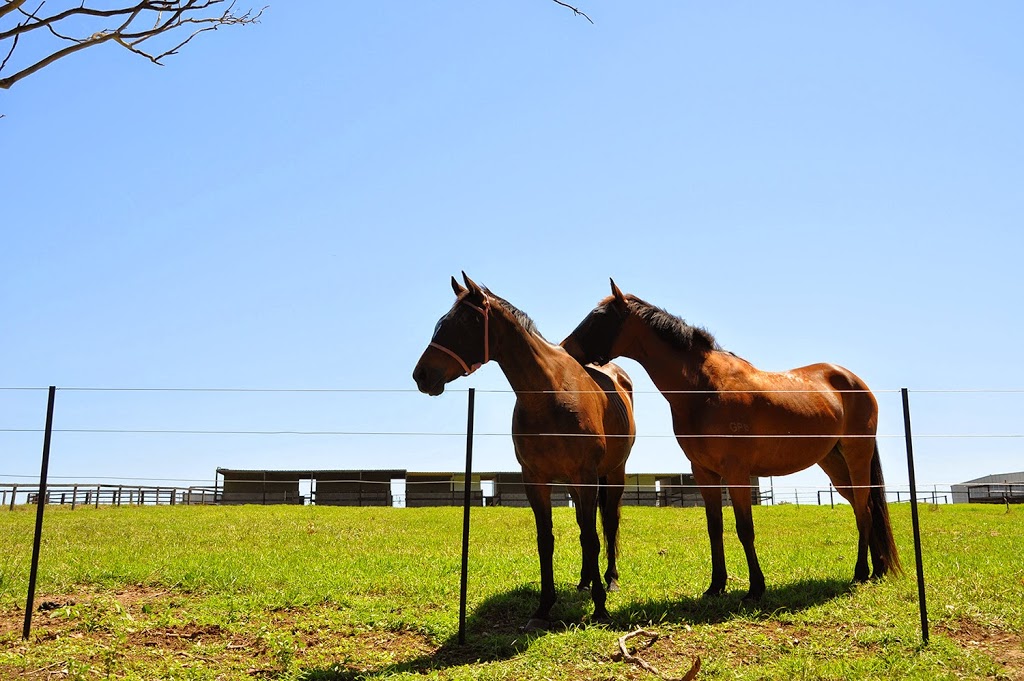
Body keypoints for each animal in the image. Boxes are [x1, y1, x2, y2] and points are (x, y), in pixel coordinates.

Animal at [411, 274, 634, 630]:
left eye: (466, 321)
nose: (422, 375)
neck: (549, 394)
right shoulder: (536, 479)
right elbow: (547, 541)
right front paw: (544, 607)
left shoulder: (586, 477)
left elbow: (592, 537)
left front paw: (600, 607)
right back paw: (585, 580)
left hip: (613, 474)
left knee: (608, 524)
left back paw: (609, 580)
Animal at [561, 278, 905, 598]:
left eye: (598, 318)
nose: (565, 350)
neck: (704, 388)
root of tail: (854, 381)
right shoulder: (704, 472)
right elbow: (715, 528)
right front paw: (716, 585)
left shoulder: (737, 472)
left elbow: (744, 529)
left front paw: (755, 587)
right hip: (834, 462)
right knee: (864, 508)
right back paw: (875, 570)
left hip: (856, 456)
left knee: (864, 510)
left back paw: (861, 573)